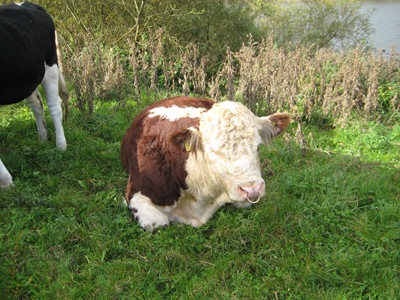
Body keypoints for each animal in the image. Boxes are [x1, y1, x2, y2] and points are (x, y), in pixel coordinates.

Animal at [0, 1, 67, 188]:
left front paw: (6, 180)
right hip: (29, 75)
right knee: (37, 105)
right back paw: (43, 138)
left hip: (50, 66)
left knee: (55, 106)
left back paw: (61, 144)